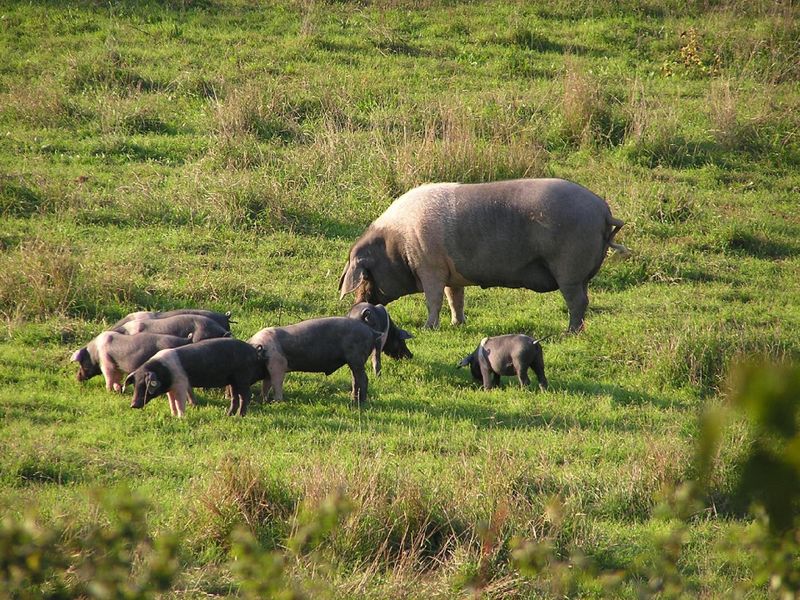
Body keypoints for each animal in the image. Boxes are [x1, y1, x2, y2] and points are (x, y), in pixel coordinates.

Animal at [123, 338, 264, 418]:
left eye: (144, 385)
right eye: (135, 385)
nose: (133, 405)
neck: (165, 371)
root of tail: (253, 351)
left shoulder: (180, 383)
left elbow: (179, 402)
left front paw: (181, 418)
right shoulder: (171, 389)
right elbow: (172, 402)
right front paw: (173, 415)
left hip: (242, 377)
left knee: (245, 395)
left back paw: (240, 416)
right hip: (232, 381)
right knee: (235, 397)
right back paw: (228, 415)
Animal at [250, 318, 384, 408]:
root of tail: (372, 331)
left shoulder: (278, 364)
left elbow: (276, 383)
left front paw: (276, 402)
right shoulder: (268, 370)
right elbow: (266, 385)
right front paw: (263, 400)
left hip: (357, 358)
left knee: (363, 378)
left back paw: (359, 403)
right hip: (354, 361)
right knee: (355, 379)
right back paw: (353, 400)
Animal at [338, 178, 624, 332]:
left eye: (365, 276)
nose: (357, 306)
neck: (397, 245)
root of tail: (602, 211)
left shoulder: (430, 267)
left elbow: (433, 299)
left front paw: (429, 328)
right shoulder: (451, 274)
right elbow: (455, 299)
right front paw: (457, 324)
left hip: (569, 270)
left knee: (578, 302)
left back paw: (569, 333)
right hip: (580, 274)